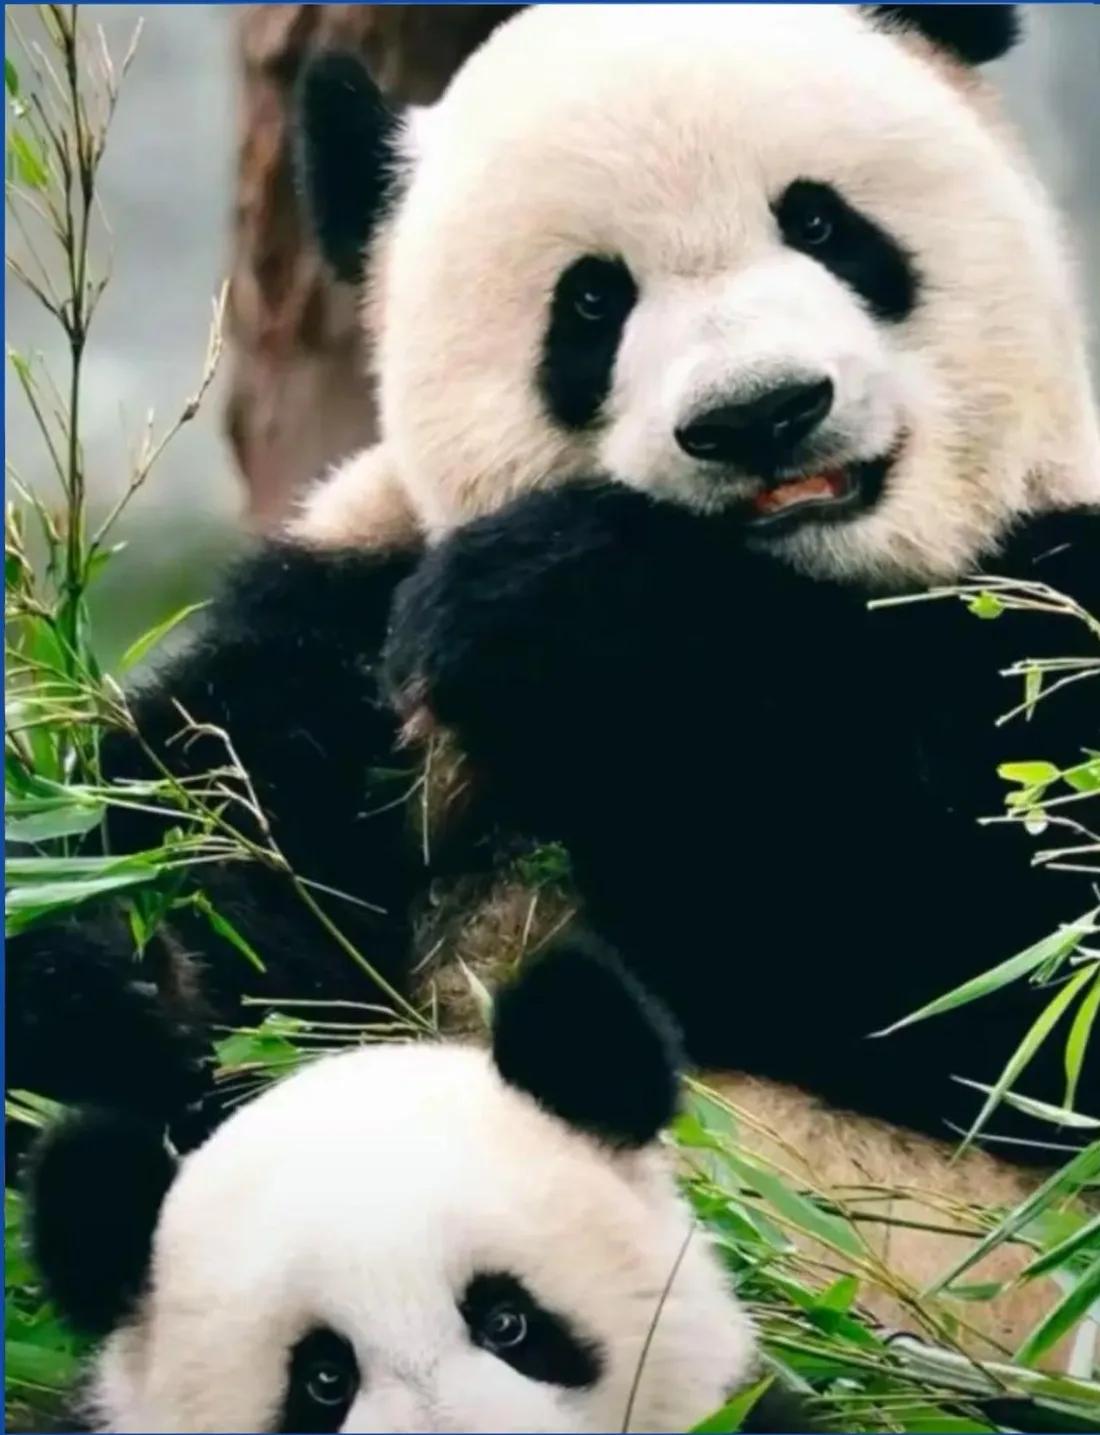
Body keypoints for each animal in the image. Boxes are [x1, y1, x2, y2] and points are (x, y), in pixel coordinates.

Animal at [8, 1, 1098, 1361]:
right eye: (590, 301)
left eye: (820, 223)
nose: (760, 413)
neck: (817, 594)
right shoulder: (334, 640)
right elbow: (178, 849)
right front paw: (132, 978)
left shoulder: (1048, 604)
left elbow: (999, 985)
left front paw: (590, 626)